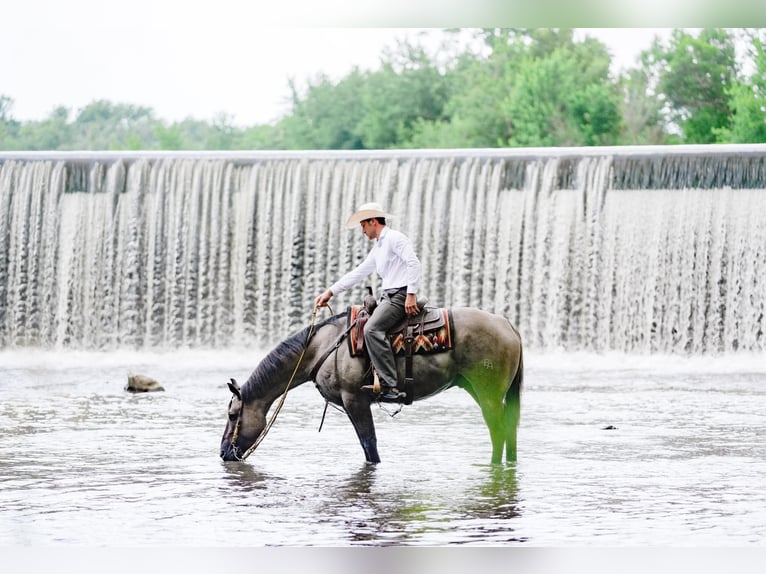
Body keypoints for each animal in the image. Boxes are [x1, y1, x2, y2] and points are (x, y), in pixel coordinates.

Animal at [220, 307, 523, 465]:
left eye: (233, 415)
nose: (223, 453)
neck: (322, 348)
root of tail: (508, 325)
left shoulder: (355, 399)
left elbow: (369, 444)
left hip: (488, 395)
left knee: (498, 430)